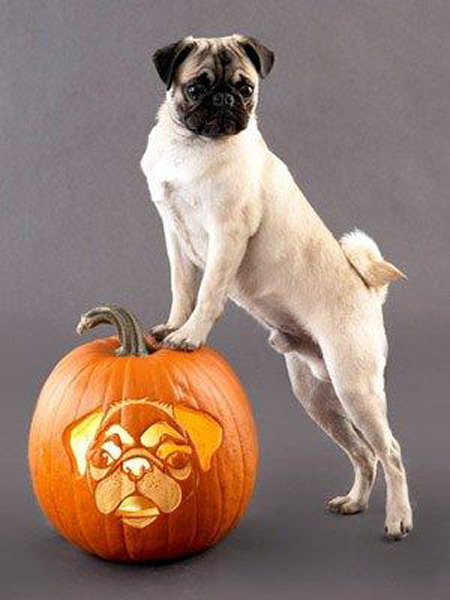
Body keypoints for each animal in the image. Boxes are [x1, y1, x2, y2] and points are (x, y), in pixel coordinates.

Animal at [140, 34, 412, 540]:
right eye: (196, 87)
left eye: (245, 88)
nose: (225, 100)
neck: (192, 146)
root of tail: (368, 291)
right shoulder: (174, 234)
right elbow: (182, 288)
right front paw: (172, 326)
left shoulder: (227, 232)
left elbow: (208, 294)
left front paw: (191, 335)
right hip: (317, 398)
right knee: (364, 454)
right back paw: (354, 502)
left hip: (356, 387)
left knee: (391, 452)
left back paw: (398, 519)